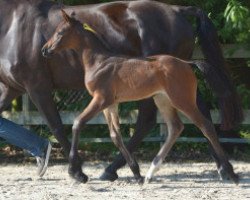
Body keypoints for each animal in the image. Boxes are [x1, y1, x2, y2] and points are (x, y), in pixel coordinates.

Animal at [41, 10, 238, 184]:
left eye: (60, 32)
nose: (44, 50)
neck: (99, 61)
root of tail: (186, 63)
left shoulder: (101, 99)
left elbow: (77, 123)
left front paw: (77, 173)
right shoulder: (110, 104)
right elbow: (115, 136)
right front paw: (136, 173)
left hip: (182, 99)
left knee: (205, 125)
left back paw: (230, 172)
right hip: (162, 100)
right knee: (176, 127)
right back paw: (150, 173)